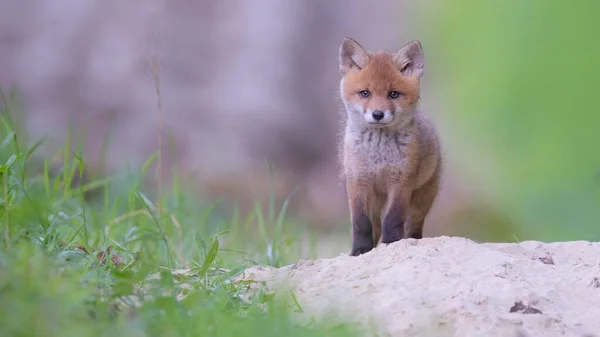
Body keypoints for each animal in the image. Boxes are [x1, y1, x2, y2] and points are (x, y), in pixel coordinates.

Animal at [338, 36, 440, 256]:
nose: (378, 114)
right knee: (375, 224)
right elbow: (361, 223)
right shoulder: (357, 182)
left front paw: (392, 243)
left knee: (413, 227)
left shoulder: (402, 182)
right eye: (365, 93)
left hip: (421, 200)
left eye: (393, 94)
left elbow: (393, 219)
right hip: (375, 199)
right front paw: (360, 250)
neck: (379, 155)